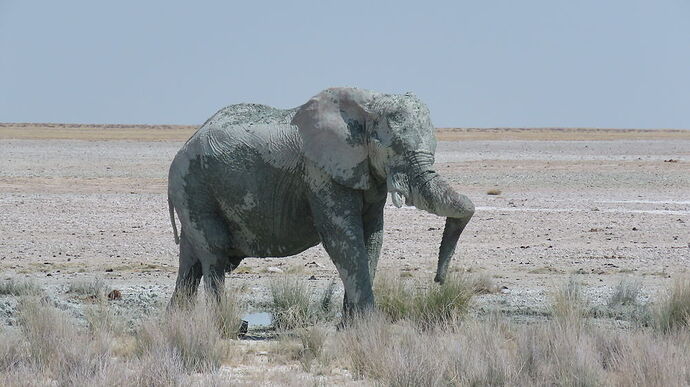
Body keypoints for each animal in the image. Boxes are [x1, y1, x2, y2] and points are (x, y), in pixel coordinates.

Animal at [168, 87, 472, 316]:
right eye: (392, 147)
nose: (439, 280)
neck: (368, 104)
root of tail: (186, 142)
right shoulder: (321, 172)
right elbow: (343, 238)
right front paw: (370, 324)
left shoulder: (364, 173)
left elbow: (372, 237)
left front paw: (350, 327)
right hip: (194, 187)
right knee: (214, 254)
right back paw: (225, 324)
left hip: (192, 191)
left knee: (191, 261)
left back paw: (178, 322)